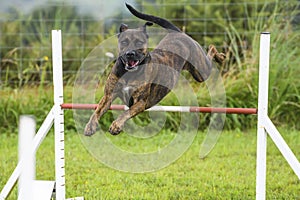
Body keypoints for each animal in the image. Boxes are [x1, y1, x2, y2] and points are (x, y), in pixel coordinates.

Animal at [83, 3, 224, 136]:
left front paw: (116, 126)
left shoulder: (140, 102)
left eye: (139, 42)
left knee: (211, 48)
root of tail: (177, 32)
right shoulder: (109, 95)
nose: (130, 53)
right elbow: (97, 111)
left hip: (201, 71)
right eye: (124, 42)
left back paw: (221, 57)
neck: (130, 73)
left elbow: (126, 113)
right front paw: (90, 126)